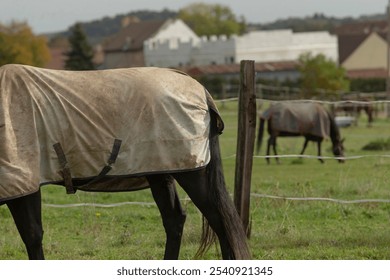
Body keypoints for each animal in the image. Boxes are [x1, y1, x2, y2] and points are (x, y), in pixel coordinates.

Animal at [0, 64, 250, 260]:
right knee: (175, 220)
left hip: (192, 174)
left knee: (221, 221)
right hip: (160, 172)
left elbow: (32, 236)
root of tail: (200, 91)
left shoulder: (25, 185)